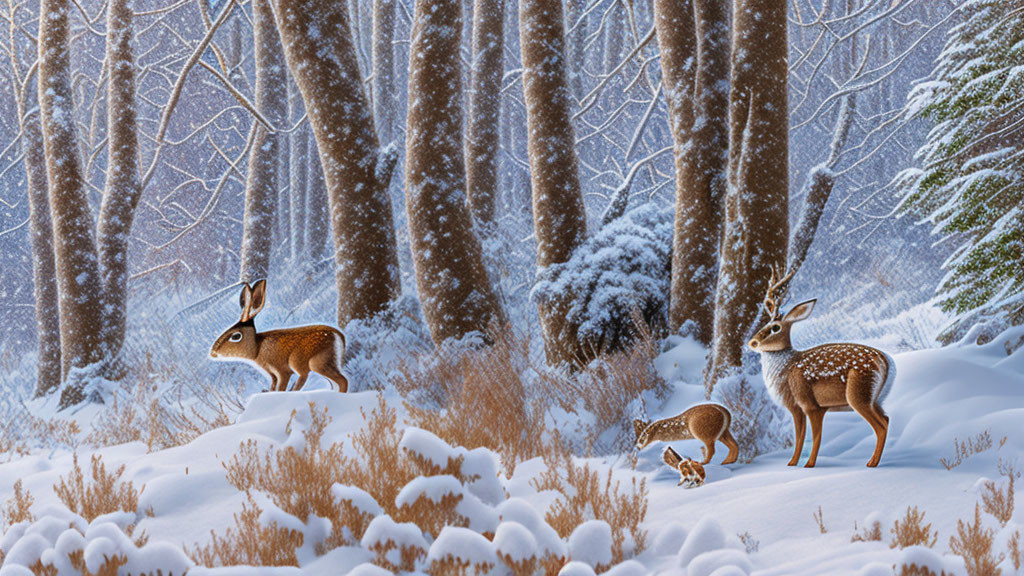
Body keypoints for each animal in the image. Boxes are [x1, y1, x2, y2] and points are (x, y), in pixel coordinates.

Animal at [745, 266, 897, 463]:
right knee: (886, 419)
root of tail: (886, 361)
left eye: (775, 327)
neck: (786, 367)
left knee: (880, 426)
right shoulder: (802, 408)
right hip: (874, 399)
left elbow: (813, 436)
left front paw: (805, 465)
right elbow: (801, 436)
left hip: (858, 396)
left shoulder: (808, 404)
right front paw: (793, 464)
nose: (752, 343)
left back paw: (871, 464)